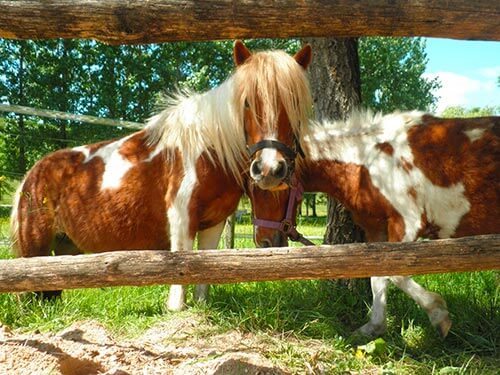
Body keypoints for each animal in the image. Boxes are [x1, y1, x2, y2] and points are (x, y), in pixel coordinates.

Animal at [8, 41, 312, 312]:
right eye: (246, 103)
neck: (209, 152)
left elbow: (207, 266)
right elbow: (182, 263)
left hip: (64, 248)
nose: (270, 170)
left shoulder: (214, 223)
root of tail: (31, 175)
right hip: (34, 247)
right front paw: (176, 308)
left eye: (295, 103)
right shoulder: (181, 216)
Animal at [252, 111, 498, 338]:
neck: (371, 161)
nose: (262, 242)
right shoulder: (377, 230)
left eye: (271, 187)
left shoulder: (407, 223)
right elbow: (377, 274)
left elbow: (396, 273)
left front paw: (439, 316)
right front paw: (373, 328)